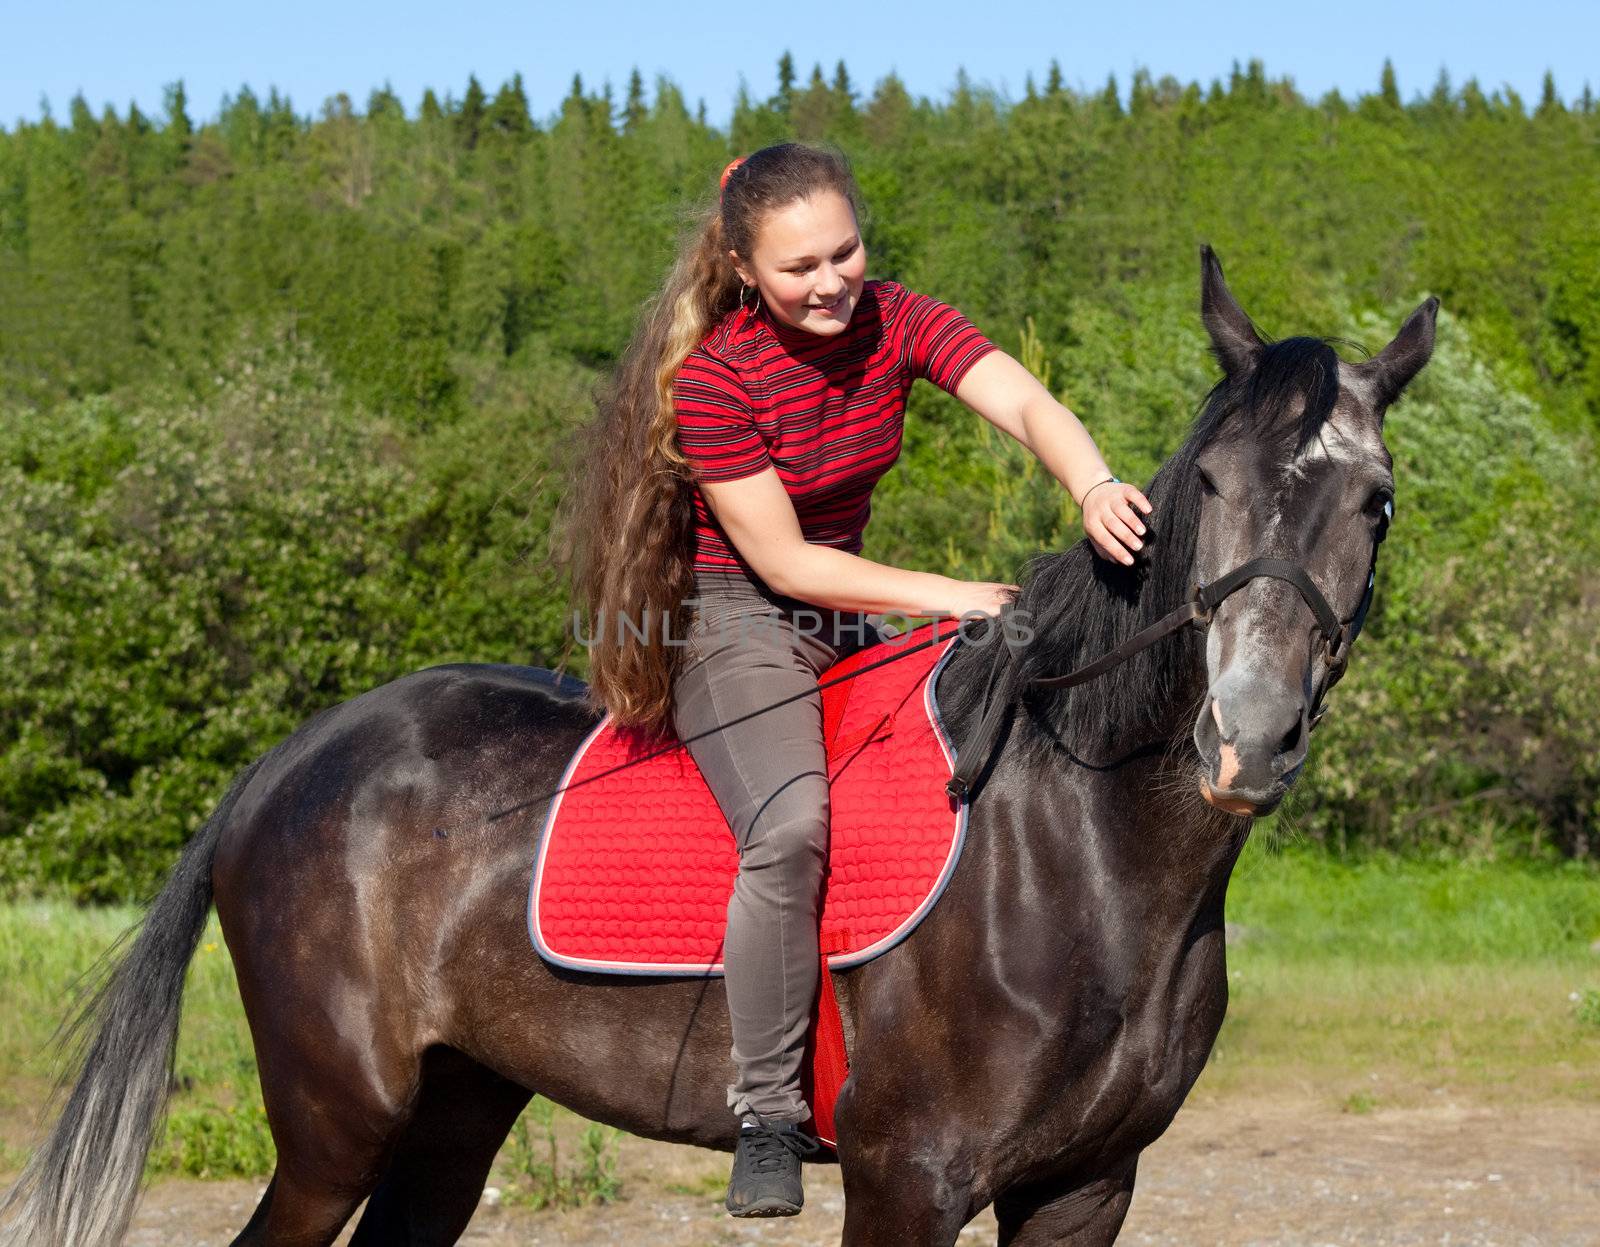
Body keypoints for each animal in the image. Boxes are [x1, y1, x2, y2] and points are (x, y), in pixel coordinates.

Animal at [0, 246, 1440, 1247]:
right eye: (1211, 485)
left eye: (1375, 501)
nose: (1247, 734)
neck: (1077, 849)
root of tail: (286, 764)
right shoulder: (909, 1177)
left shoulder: (1087, 1185)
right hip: (333, 1126)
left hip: (456, 1103)